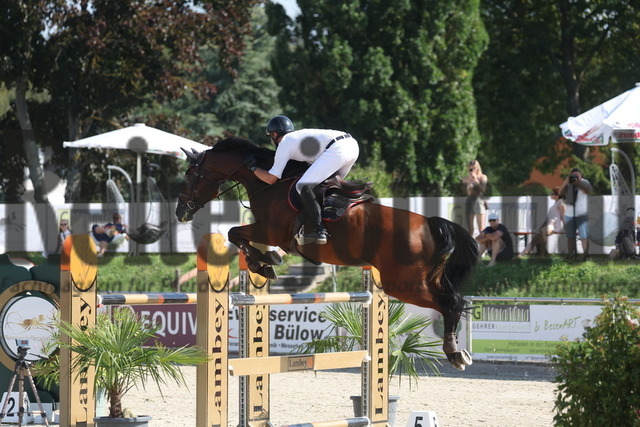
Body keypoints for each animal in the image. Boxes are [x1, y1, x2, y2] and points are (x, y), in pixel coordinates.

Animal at [176, 137, 478, 370]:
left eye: (190, 173)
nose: (180, 212)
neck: (269, 184)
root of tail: (429, 223)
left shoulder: (269, 231)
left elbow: (233, 233)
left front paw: (262, 263)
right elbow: (236, 235)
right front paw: (263, 262)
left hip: (404, 284)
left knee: (450, 302)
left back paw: (454, 353)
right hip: (424, 279)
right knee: (453, 301)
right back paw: (457, 351)